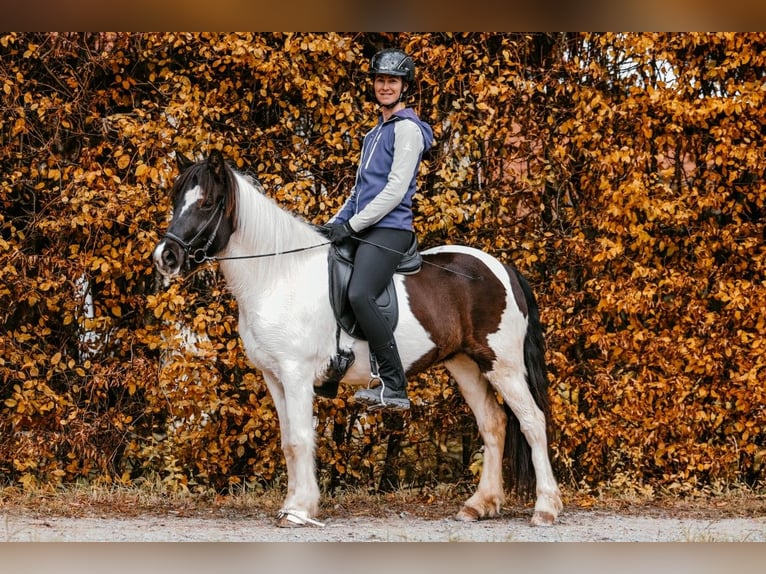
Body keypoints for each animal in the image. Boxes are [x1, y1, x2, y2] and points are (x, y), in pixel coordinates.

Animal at [152, 149, 562, 528]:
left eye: (206, 203)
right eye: (176, 200)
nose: (165, 257)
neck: (279, 275)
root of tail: (501, 267)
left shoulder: (296, 374)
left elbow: (300, 439)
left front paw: (299, 510)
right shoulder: (274, 377)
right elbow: (287, 441)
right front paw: (292, 504)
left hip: (503, 365)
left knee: (532, 422)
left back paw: (545, 508)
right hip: (465, 364)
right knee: (493, 423)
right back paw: (479, 505)